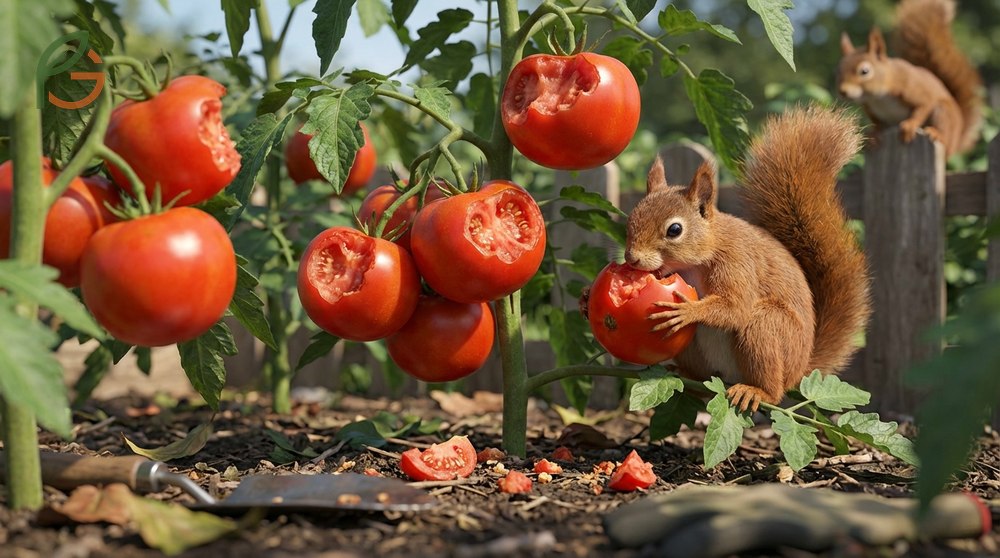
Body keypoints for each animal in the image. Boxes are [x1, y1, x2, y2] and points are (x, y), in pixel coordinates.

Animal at [621, 106, 871, 413]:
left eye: (675, 230)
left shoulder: (738, 263)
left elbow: (736, 306)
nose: (631, 259)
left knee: (770, 378)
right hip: (693, 349)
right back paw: (684, 375)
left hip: (766, 328)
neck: (695, 263)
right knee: (701, 382)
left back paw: (757, 392)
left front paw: (689, 310)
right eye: (631, 220)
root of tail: (799, 371)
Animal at [836, 0, 983, 157]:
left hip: (944, 113)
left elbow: (923, 106)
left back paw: (937, 133)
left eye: (864, 71)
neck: (878, 98)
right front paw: (874, 134)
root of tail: (957, 142)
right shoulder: (870, 107)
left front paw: (910, 125)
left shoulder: (912, 89)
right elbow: (877, 123)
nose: (843, 91)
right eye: (838, 70)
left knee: (944, 131)